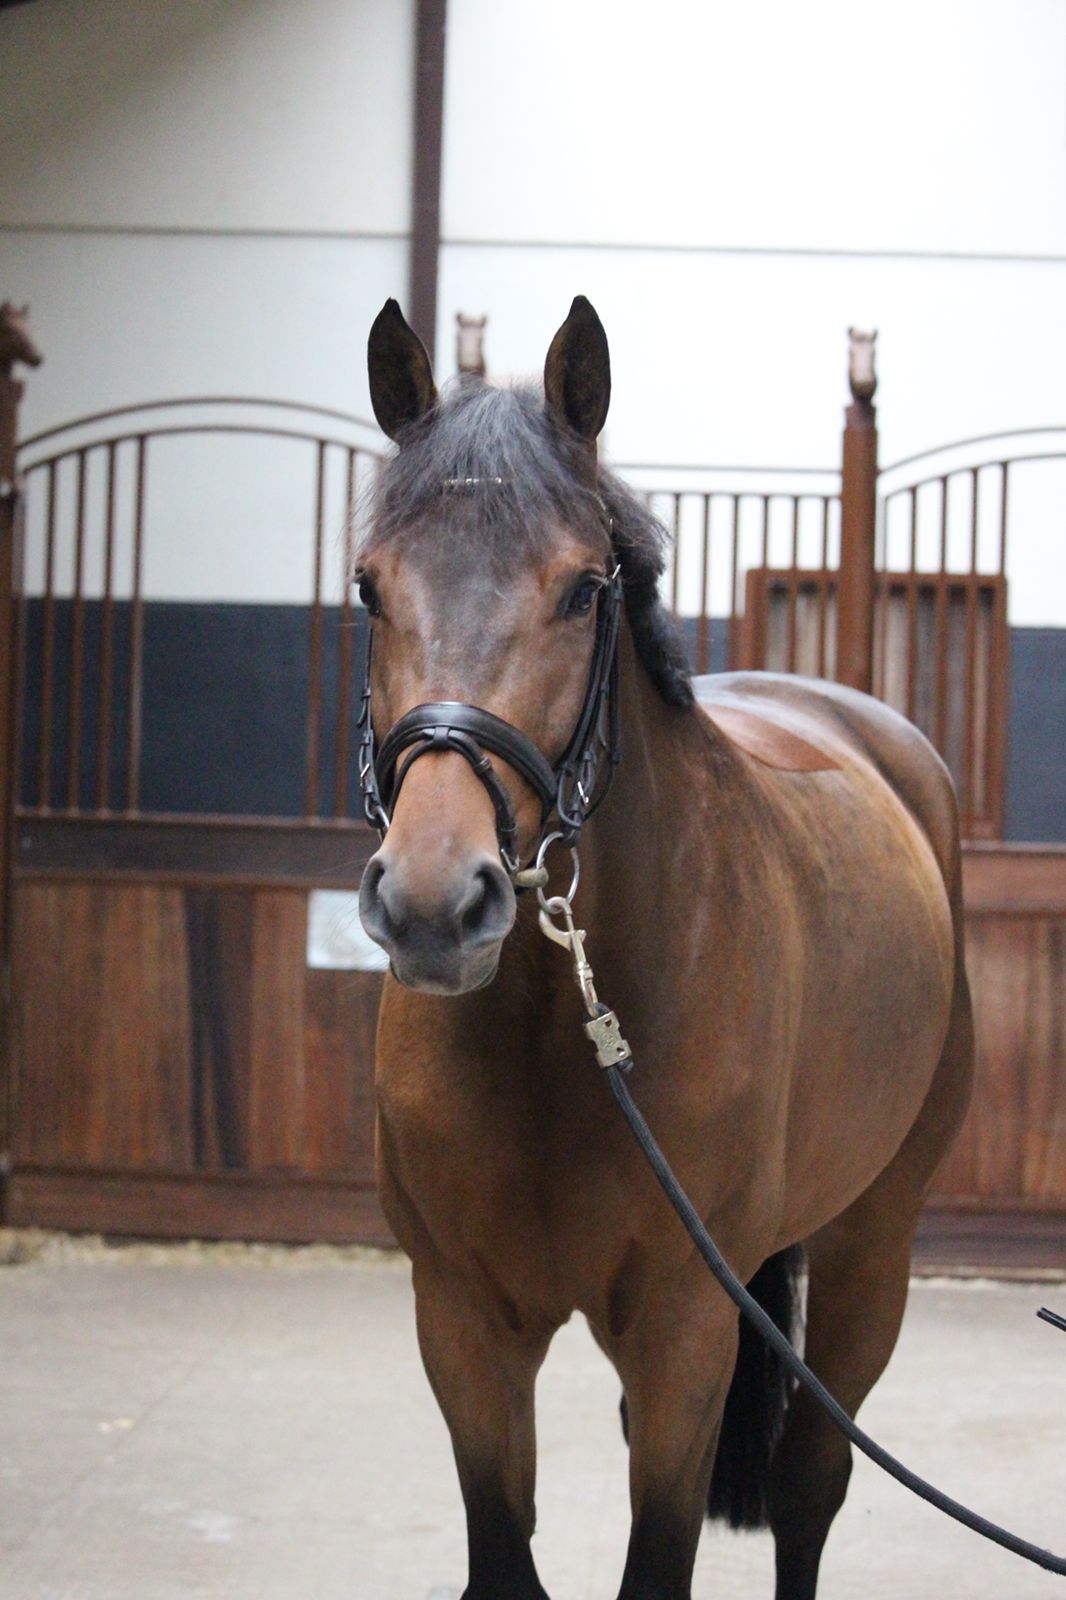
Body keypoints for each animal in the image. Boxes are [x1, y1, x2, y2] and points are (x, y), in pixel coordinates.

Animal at [356, 295, 973, 1600]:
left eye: (584, 589)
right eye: (369, 588)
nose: (435, 904)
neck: (562, 1036)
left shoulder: (688, 1325)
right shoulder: (462, 1324)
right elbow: (504, 1558)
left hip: (869, 1249)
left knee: (808, 1489)